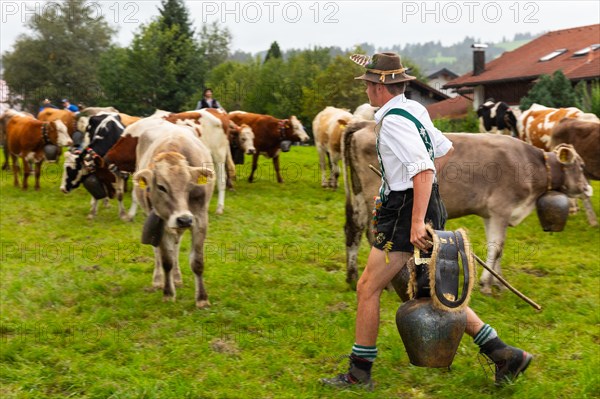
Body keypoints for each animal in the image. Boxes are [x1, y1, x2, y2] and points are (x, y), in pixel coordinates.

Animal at [134, 119, 216, 306]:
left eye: (189, 185)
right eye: (161, 186)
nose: (183, 220)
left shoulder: (199, 219)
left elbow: (197, 261)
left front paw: (202, 299)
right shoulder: (161, 221)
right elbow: (166, 260)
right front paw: (168, 293)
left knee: (176, 246)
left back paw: (177, 278)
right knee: (158, 252)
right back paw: (158, 280)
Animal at [342, 123, 592, 296]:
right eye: (580, 165)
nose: (588, 188)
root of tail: (363, 123)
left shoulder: (491, 214)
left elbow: (495, 248)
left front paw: (497, 282)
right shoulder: (501, 209)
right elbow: (497, 248)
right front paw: (487, 285)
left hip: (359, 198)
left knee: (353, 230)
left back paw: (352, 276)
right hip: (375, 201)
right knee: (373, 236)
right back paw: (387, 287)